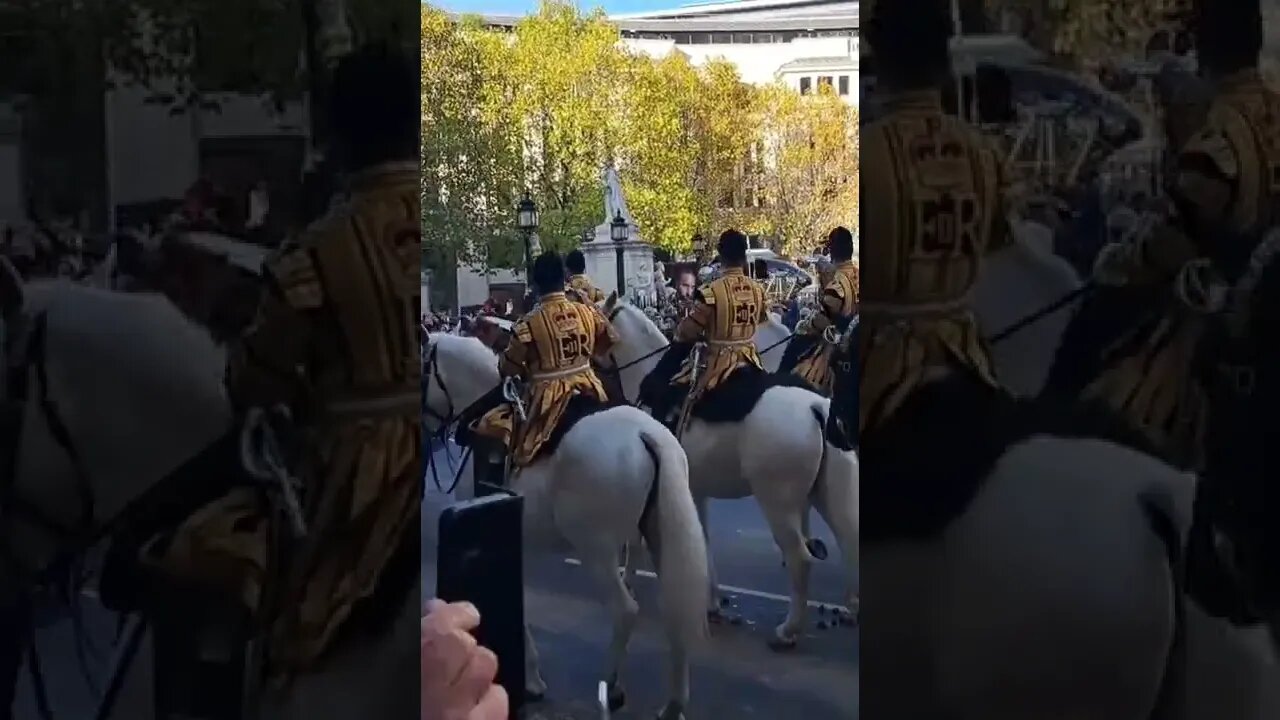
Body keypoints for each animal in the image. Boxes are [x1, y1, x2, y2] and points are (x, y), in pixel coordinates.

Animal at [422, 333, 711, 717]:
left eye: (421, 371)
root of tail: (646, 436)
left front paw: (530, 679)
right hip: (659, 536)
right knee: (675, 609)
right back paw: (673, 703)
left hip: (596, 549)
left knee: (625, 611)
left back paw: (612, 686)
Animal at [601, 297, 855, 645]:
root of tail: (816, 406)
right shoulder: (695, 490)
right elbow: (703, 539)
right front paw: (711, 601)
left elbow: (641, 540)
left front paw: (630, 580)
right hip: (828, 495)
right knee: (849, 539)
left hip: (777, 501)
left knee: (800, 558)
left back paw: (788, 630)